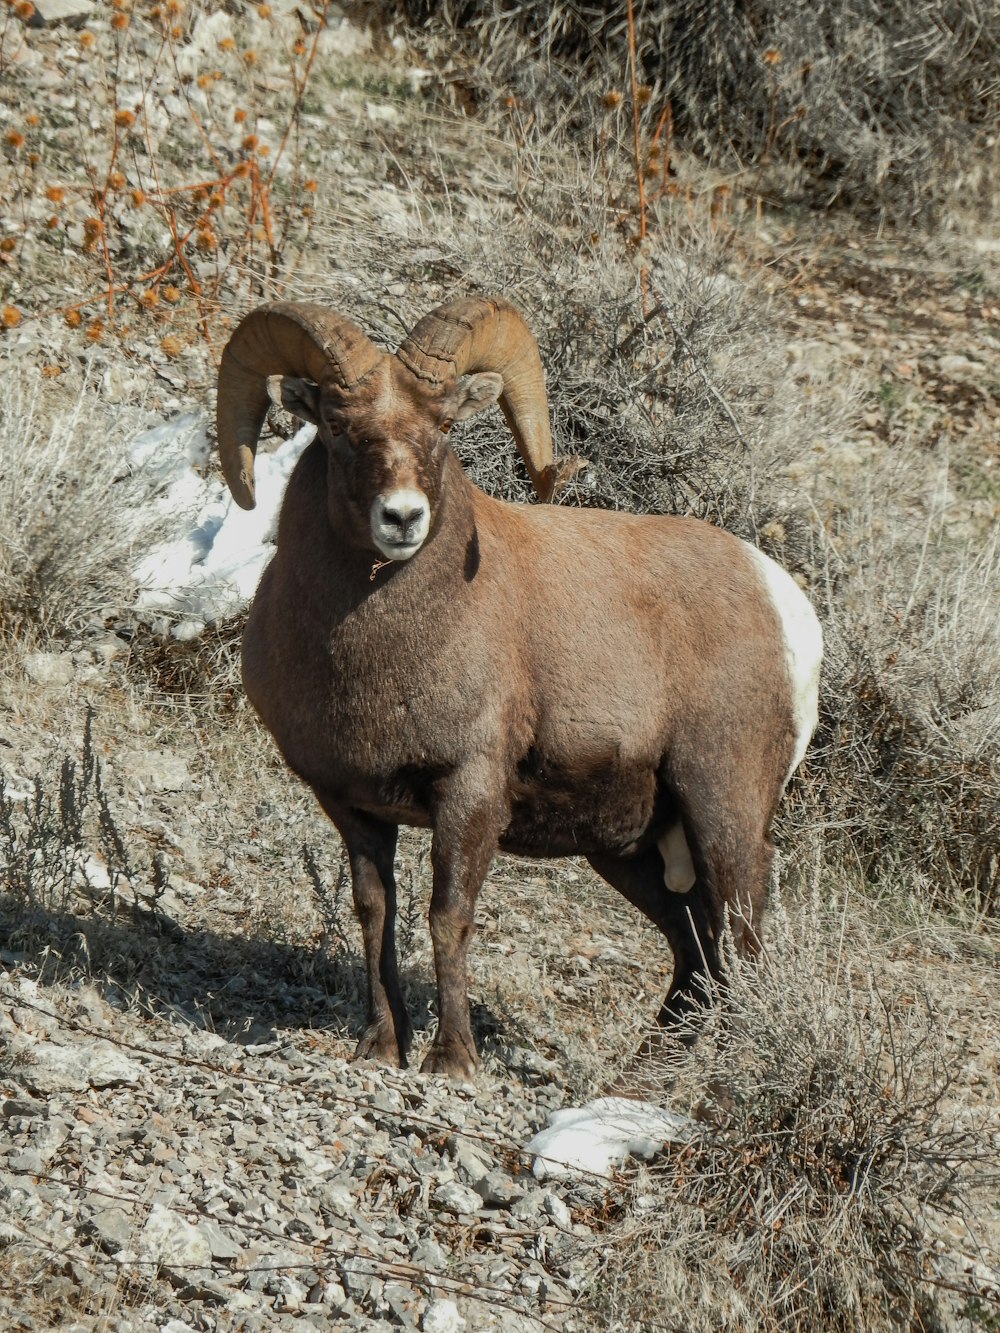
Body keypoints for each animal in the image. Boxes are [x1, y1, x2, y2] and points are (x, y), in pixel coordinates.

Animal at [218, 297, 821, 1077]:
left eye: (444, 427)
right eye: (341, 429)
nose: (402, 518)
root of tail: (785, 603)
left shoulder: (470, 790)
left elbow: (448, 917)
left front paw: (452, 1060)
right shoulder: (352, 805)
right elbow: (376, 913)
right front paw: (381, 1048)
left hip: (723, 809)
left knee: (740, 941)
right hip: (628, 849)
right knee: (695, 946)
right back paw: (644, 1075)